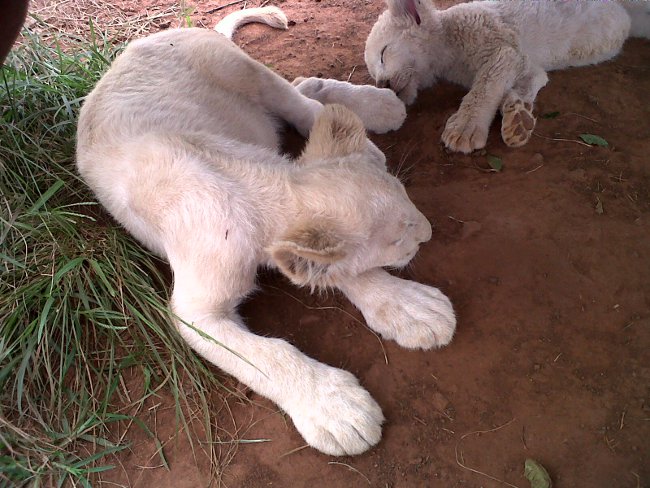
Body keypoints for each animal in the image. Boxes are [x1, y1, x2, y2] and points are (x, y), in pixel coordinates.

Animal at [76, 7, 456, 456]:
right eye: (397, 239)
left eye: (407, 196)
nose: (429, 232)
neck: (260, 188)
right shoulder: (195, 312)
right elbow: (267, 355)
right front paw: (336, 408)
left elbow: (338, 270)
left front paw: (412, 308)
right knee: (301, 88)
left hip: (242, 69)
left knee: (299, 95)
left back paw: (377, 108)